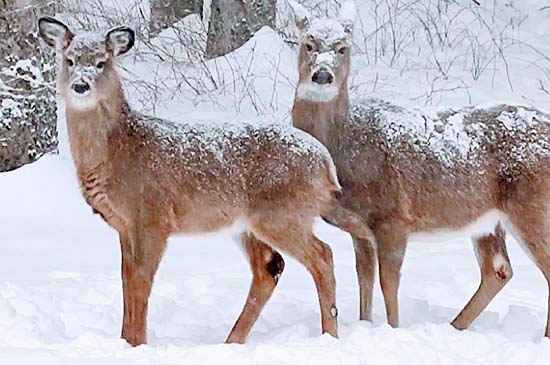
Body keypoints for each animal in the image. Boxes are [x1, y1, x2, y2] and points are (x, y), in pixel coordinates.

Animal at [36, 17, 342, 346]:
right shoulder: (124, 225)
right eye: (69, 60)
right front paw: (125, 340)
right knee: (270, 267)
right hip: (248, 224)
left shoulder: (152, 216)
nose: (80, 85)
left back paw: (330, 334)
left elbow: (140, 281)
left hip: (283, 213)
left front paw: (137, 343)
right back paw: (231, 341)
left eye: (101, 62)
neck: (121, 151)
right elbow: (126, 279)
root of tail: (326, 164)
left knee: (323, 255)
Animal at [282, 0, 550, 336]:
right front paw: (365, 326)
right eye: (308, 43)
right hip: (489, 221)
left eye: (343, 47)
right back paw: (454, 327)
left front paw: (393, 330)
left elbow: (389, 284)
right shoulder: (360, 231)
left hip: (531, 204)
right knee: (498, 270)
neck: (347, 146)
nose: (322, 75)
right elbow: (365, 282)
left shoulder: (394, 218)